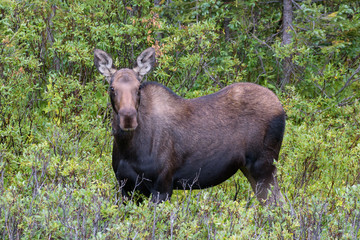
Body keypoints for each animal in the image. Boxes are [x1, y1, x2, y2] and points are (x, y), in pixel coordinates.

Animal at [94, 47, 286, 205]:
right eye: (112, 88)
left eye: (139, 87)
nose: (128, 118)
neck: (128, 148)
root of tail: (281, 107)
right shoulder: (126, 188)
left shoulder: (162, 186)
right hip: (249, 168)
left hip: (264, 165)